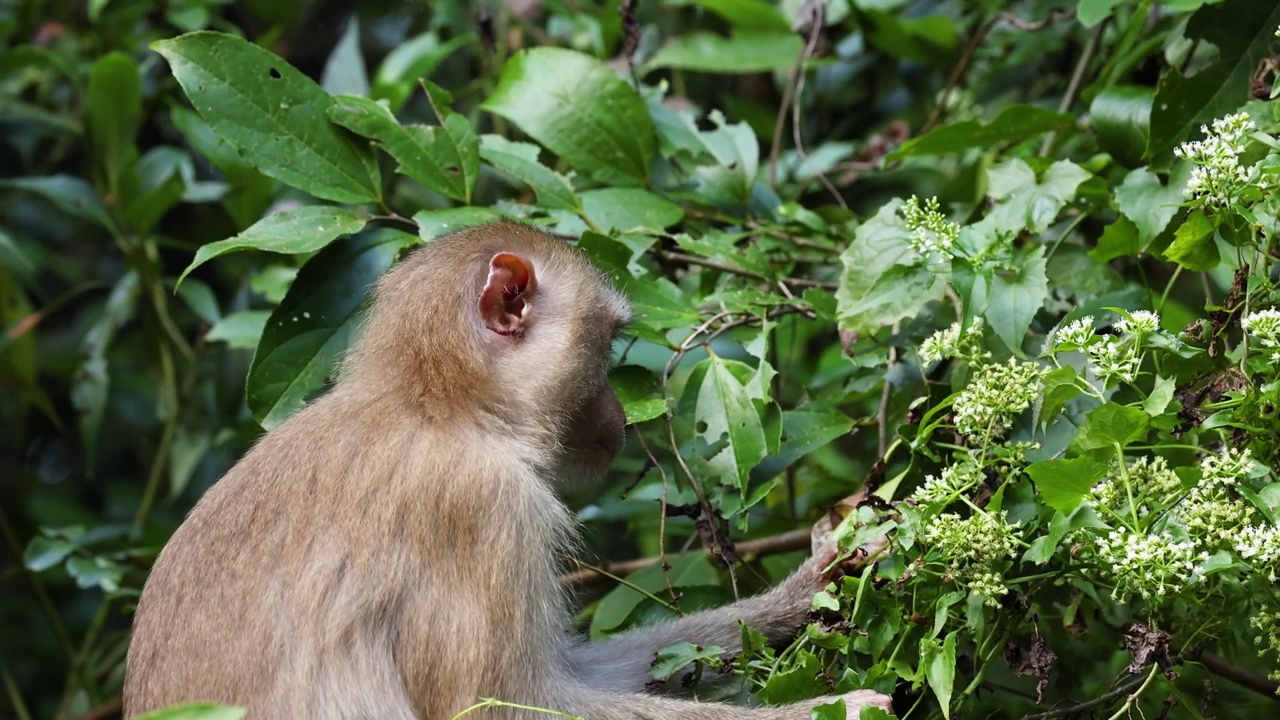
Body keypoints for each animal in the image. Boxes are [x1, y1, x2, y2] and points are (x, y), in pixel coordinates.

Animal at [124, 220, 896, 717]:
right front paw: (835, 710)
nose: (618, 415)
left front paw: (810, 586)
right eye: (609, 343)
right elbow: (504, 706)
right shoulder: (481, 509)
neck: (441, 406)